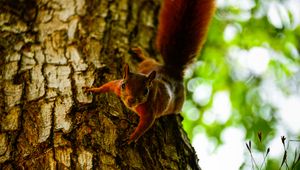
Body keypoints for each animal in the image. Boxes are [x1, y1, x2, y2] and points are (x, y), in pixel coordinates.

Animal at [84, 0, 216, 143]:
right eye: (124, 85)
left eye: (146, 91)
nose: (131, 101)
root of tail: (172, 70)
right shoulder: (117, 86)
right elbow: (107, 85)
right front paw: (93, 90)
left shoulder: (150, 111)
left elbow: (145, 125)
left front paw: (132, 137)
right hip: (149, 64)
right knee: (148, 59)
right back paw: (140, 53)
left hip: (179, 101)